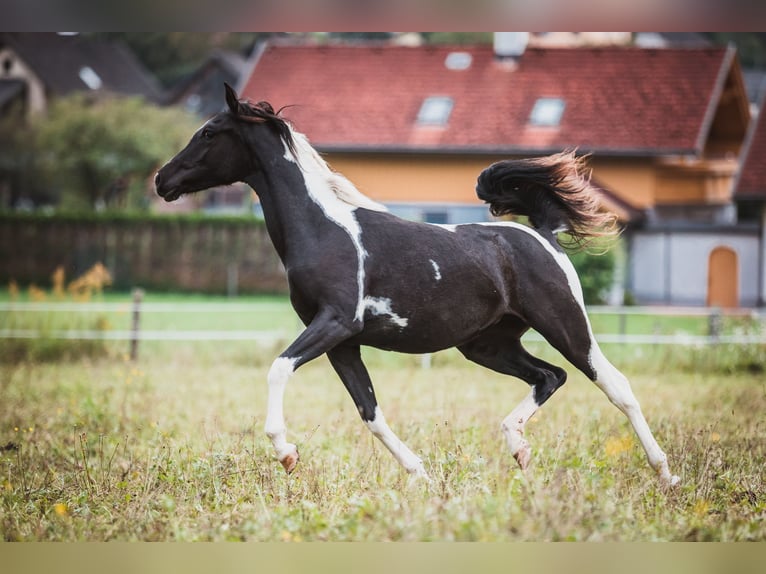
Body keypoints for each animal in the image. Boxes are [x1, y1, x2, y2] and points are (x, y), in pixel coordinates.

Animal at [153, 83, 680, 488]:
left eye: (209, 132)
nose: (161, 180)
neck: (324, 229)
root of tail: (542, 235)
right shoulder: (342, 343)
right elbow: (369, 411)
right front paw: (420, 474)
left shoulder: (335, 322)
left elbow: (279, 368)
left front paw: (286, 452)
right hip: (487, 345)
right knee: (549, 377)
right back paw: (519, 448)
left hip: (566, 325)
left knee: (615, 385)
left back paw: (666, 474)